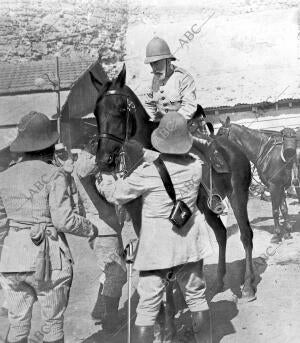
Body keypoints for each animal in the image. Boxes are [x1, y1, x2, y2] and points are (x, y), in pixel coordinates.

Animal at [216, 117, 298, 245]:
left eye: (220, 133)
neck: (268, 154)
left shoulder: (274, 186)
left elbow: (275, 210)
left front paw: (277, 235)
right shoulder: (280, 186)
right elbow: (284, 209)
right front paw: (287, 233)